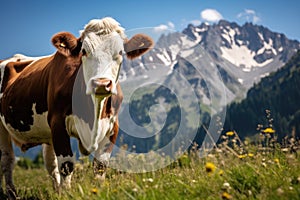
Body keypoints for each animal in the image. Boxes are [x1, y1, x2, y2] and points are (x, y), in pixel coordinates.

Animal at [0, 17, 154, 198]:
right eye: (84, 51)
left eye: (120, 52)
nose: (101, 83)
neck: (93, 113)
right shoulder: (58, 123)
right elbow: (66, 165)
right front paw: (66, 194)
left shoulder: (112, 127)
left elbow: (100, 166)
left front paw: (96, 192)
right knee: (7, 160)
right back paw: (11, 193)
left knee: (50, 163)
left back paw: (56, 191)